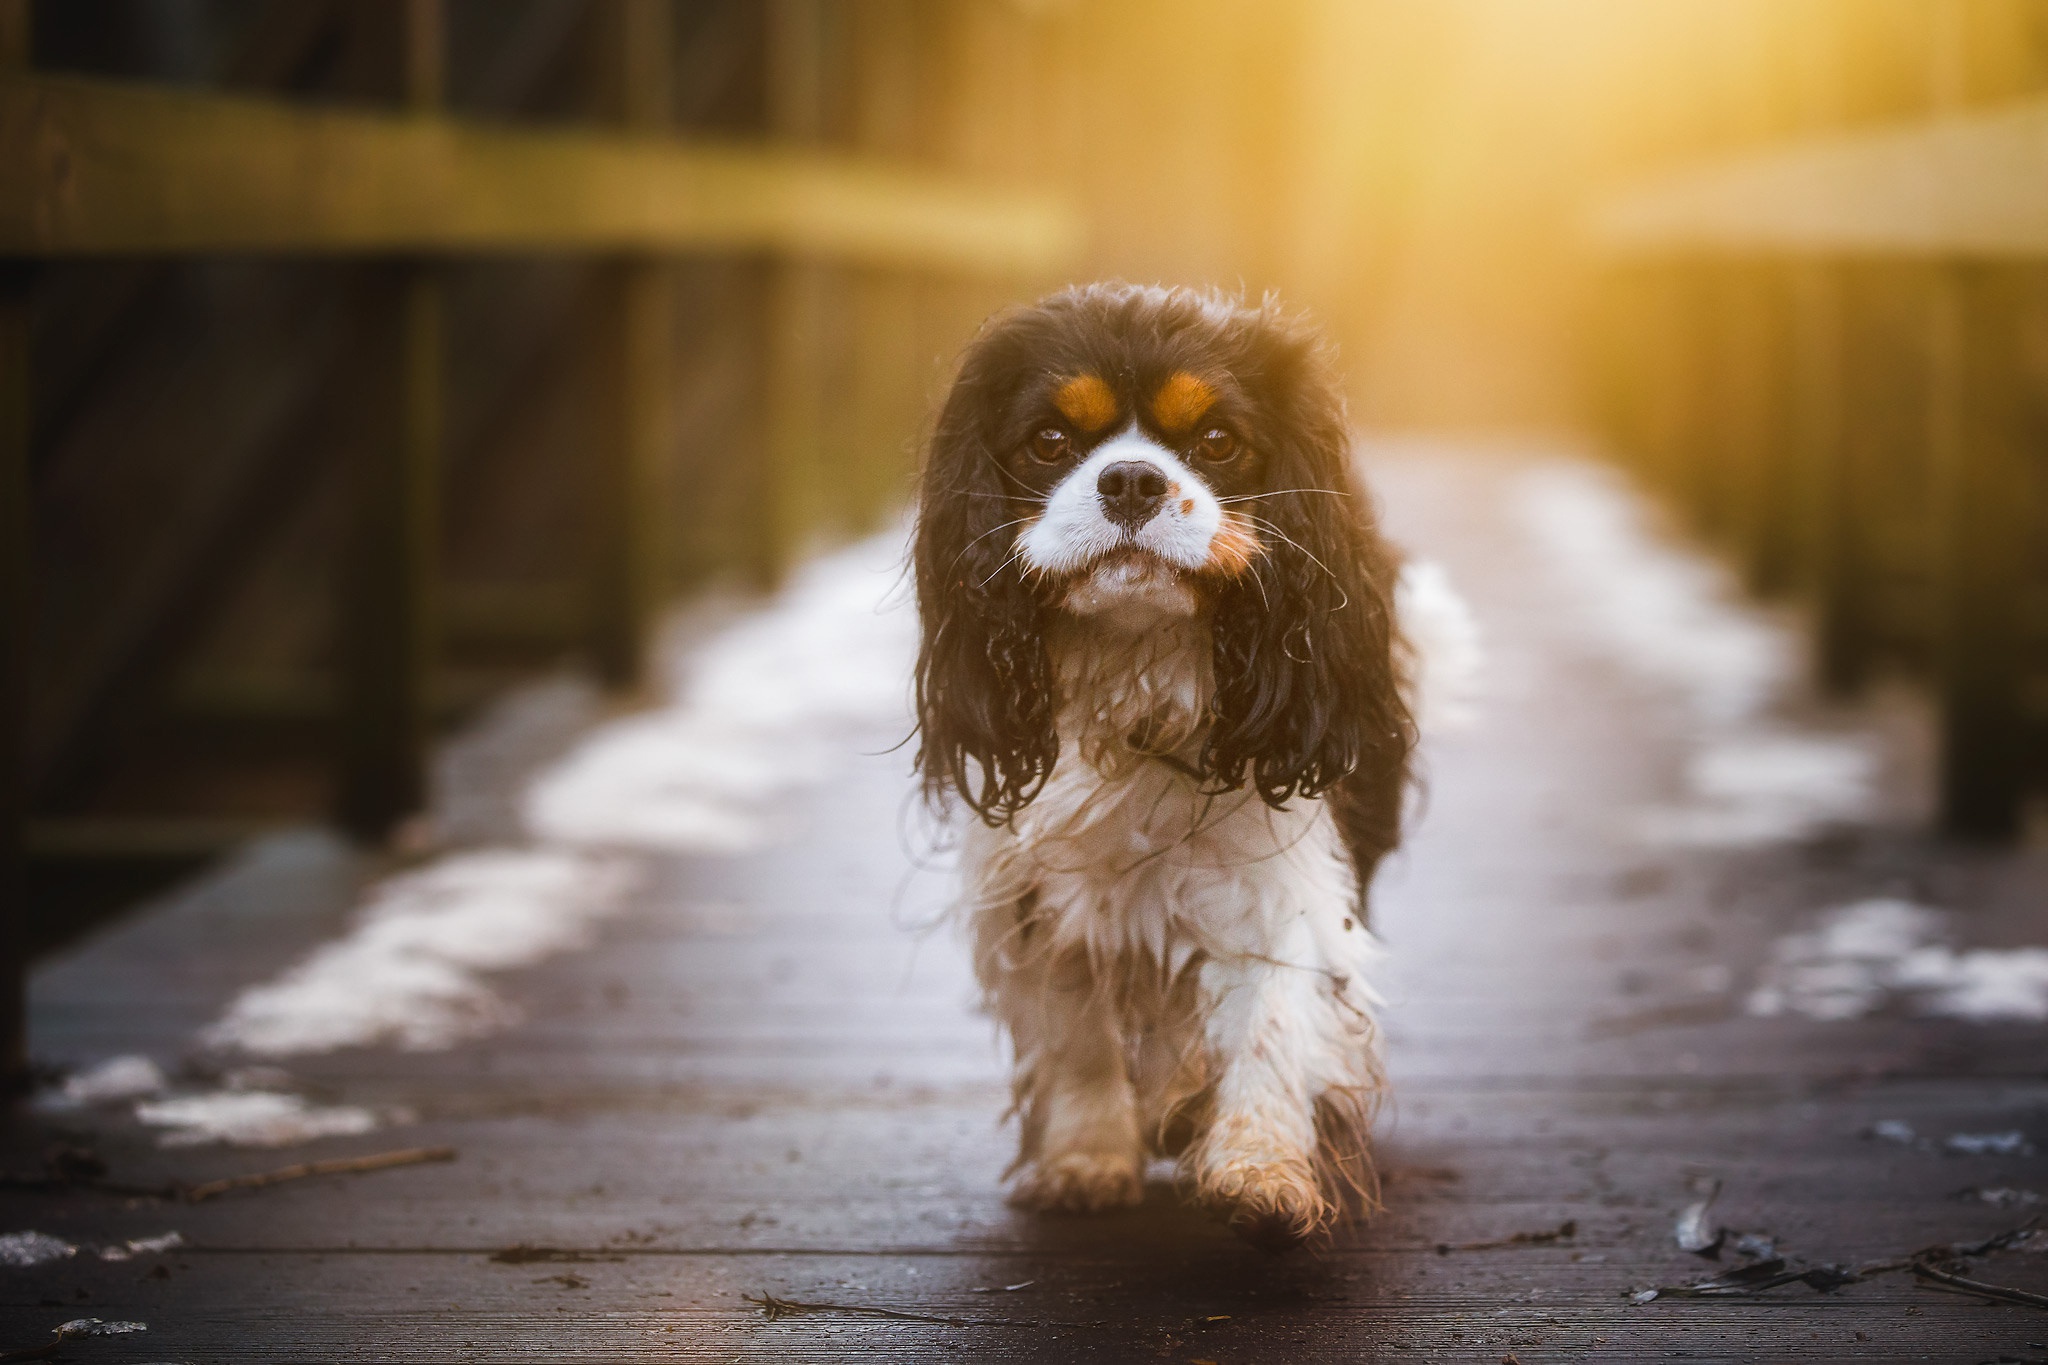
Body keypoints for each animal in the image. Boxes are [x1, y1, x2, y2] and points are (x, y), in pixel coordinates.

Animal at [917, 282, 1417, 1244]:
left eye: (1217, 440)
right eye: (1050, 441)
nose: (1131, 480)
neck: (1133, 663)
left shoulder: (1281, 878)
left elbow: (1274, 1013)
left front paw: (1260, 1171)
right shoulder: (1041, 892)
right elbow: (1076, 1030)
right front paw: (1086, 1157)